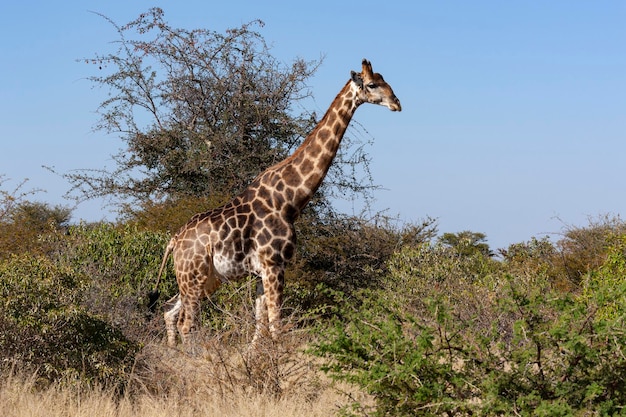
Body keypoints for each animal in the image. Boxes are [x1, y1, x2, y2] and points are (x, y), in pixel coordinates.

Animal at [154, 58, 402, 344]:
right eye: (372, 84)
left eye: (385, 81)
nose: (397, 103)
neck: (289, 201)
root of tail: (174, 241)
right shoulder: (274, 264)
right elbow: (276, 325)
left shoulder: (263, 270)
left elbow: (261, 326)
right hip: (193, 275)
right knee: (187, 323)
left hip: (207, 279)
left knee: (169, 309)